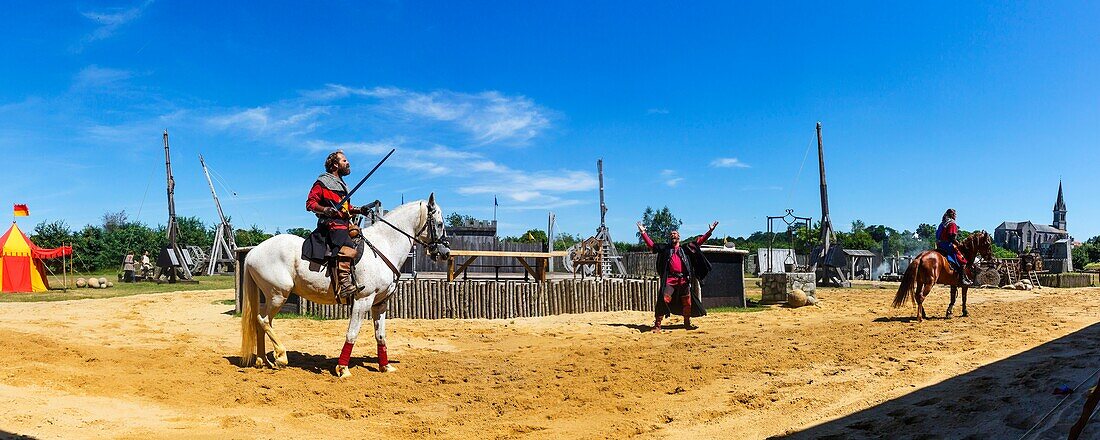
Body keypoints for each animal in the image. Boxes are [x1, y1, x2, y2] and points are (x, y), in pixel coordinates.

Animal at [238, 194, 448, 378]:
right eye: (439, 223)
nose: (445, 251)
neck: (384, 245)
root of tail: (254, 251)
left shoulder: (380, 304)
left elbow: (380, 336)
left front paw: (385, 366)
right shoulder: (363, 300)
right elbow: (352, 333)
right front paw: (343, 369)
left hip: (272, 297)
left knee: (261, 322)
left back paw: (263, 360)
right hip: (278, 295)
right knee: (264, 320)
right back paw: (281, 356)